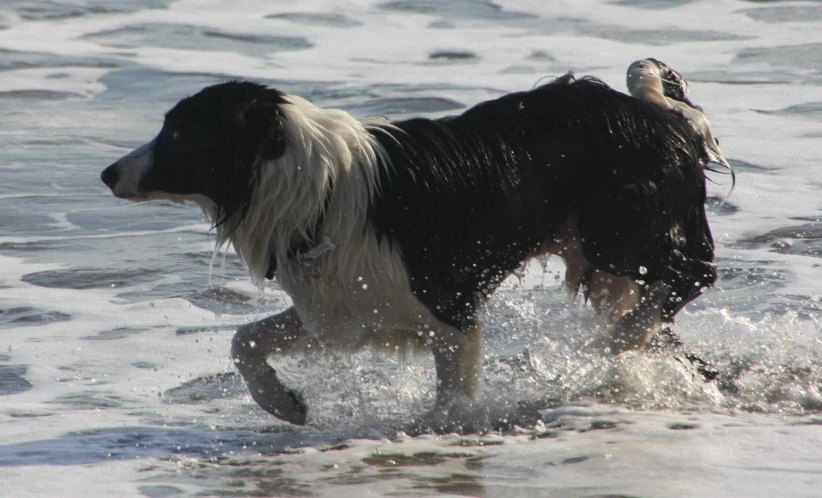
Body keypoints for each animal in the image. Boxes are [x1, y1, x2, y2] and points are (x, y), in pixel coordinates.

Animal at [101, 60, 720, 422]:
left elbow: (452, 404)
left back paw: (616, 341)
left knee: (693, 275)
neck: (314, 191)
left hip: (613, 232)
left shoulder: (451, 311)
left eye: (177, 133)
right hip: (602, 259)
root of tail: (668, 118)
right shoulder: (343, 306)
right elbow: (245, 339)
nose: (107, 174)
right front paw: (283, 403)